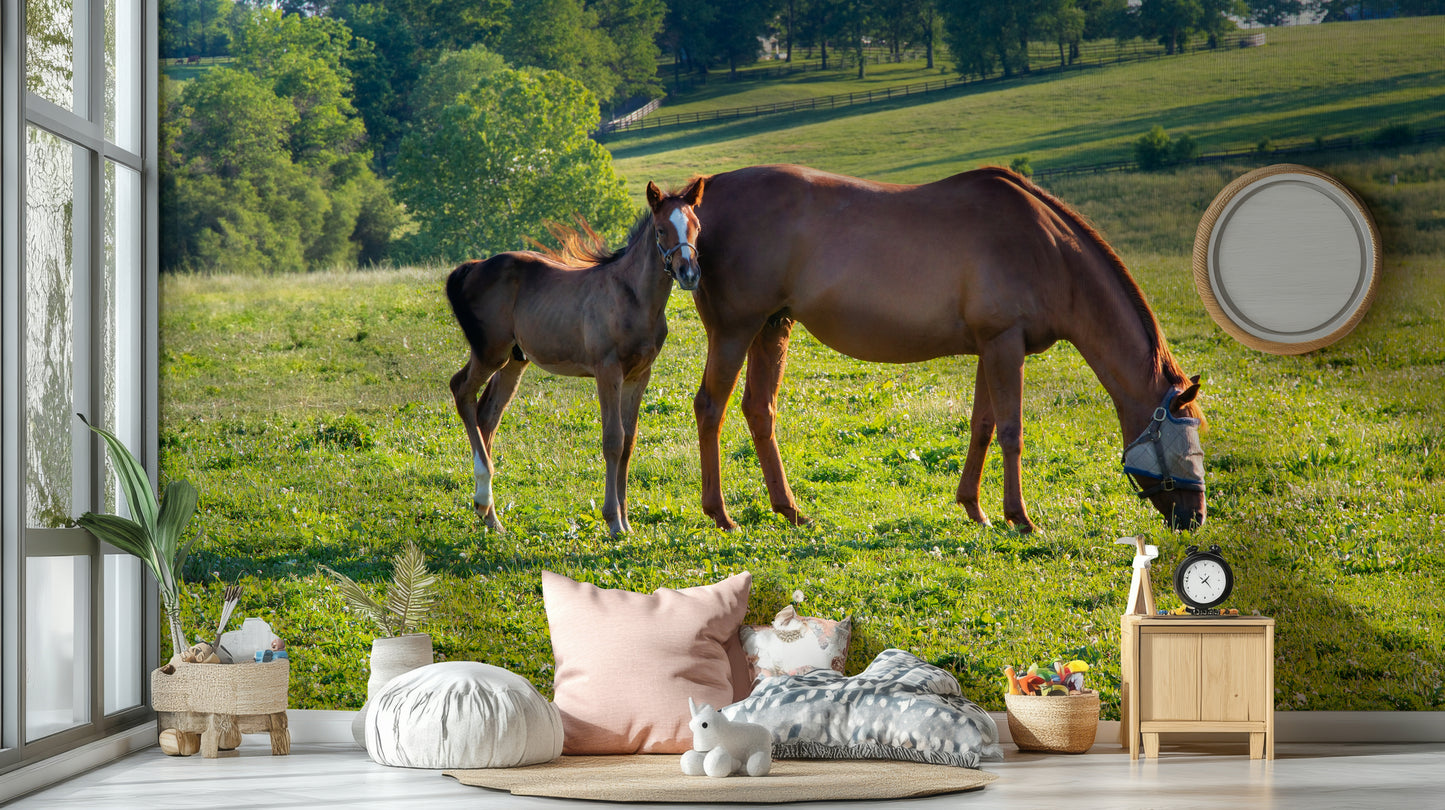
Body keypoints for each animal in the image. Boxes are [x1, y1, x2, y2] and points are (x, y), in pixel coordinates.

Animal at [446, 179, 705, 535]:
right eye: (661, 229)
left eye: (696, 227)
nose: (688, 273)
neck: (633, 297)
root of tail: (471, 267)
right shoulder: (607, 371)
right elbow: (613, 440)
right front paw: (613, 521)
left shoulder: (640, 375)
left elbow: (629, 441)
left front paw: (627, 522)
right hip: (490, 353)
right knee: (461, 391)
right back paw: (484, 498)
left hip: (514, 360)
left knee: (487, 415)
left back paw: (490, 516)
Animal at [685, 164, 1206, 534]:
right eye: (1183, 440)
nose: (1197, 517)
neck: (1049, 251)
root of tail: (703, 197)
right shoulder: (1004, 345)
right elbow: (1012, 431)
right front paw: (1020, 517)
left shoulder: (992, 348)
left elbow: (983, 426)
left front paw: (975, 508)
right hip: (734, 331)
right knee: (710, 407)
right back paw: (720, 514)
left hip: (772, 328)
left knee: (760, 410)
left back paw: (789, 510)